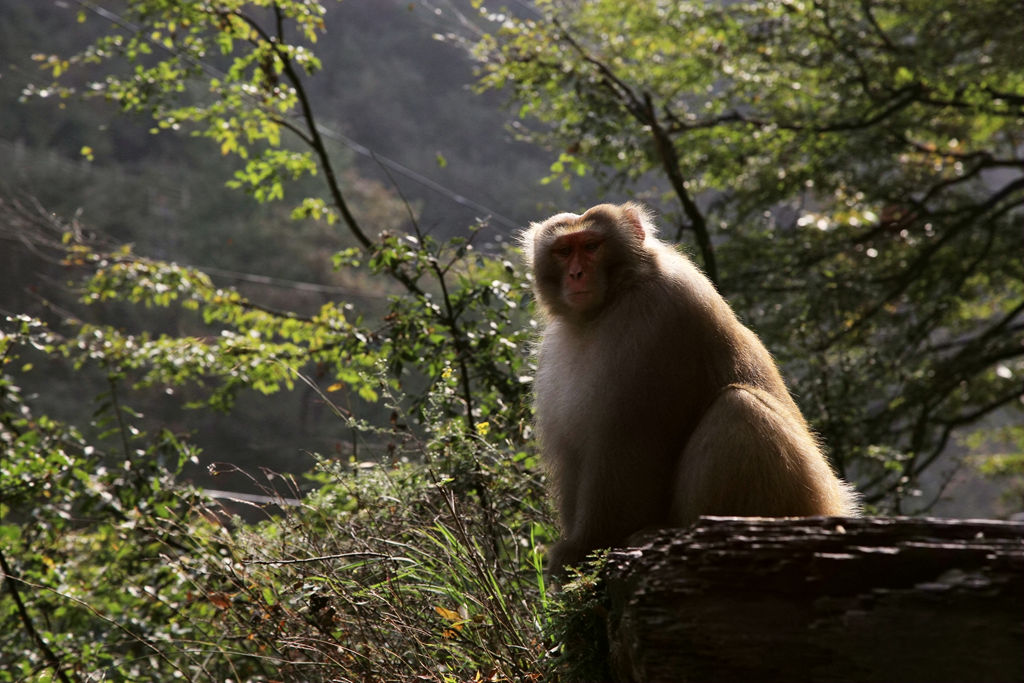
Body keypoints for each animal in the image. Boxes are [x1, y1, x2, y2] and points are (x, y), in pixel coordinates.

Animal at [524, 201, 860, 573]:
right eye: (563, 251)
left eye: (591, 246)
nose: (576, 274)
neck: (614, 299)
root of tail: (836, 504)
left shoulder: (654, 320)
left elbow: (627, 443)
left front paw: (584, 547)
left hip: (805, 497)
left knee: (740, 409)